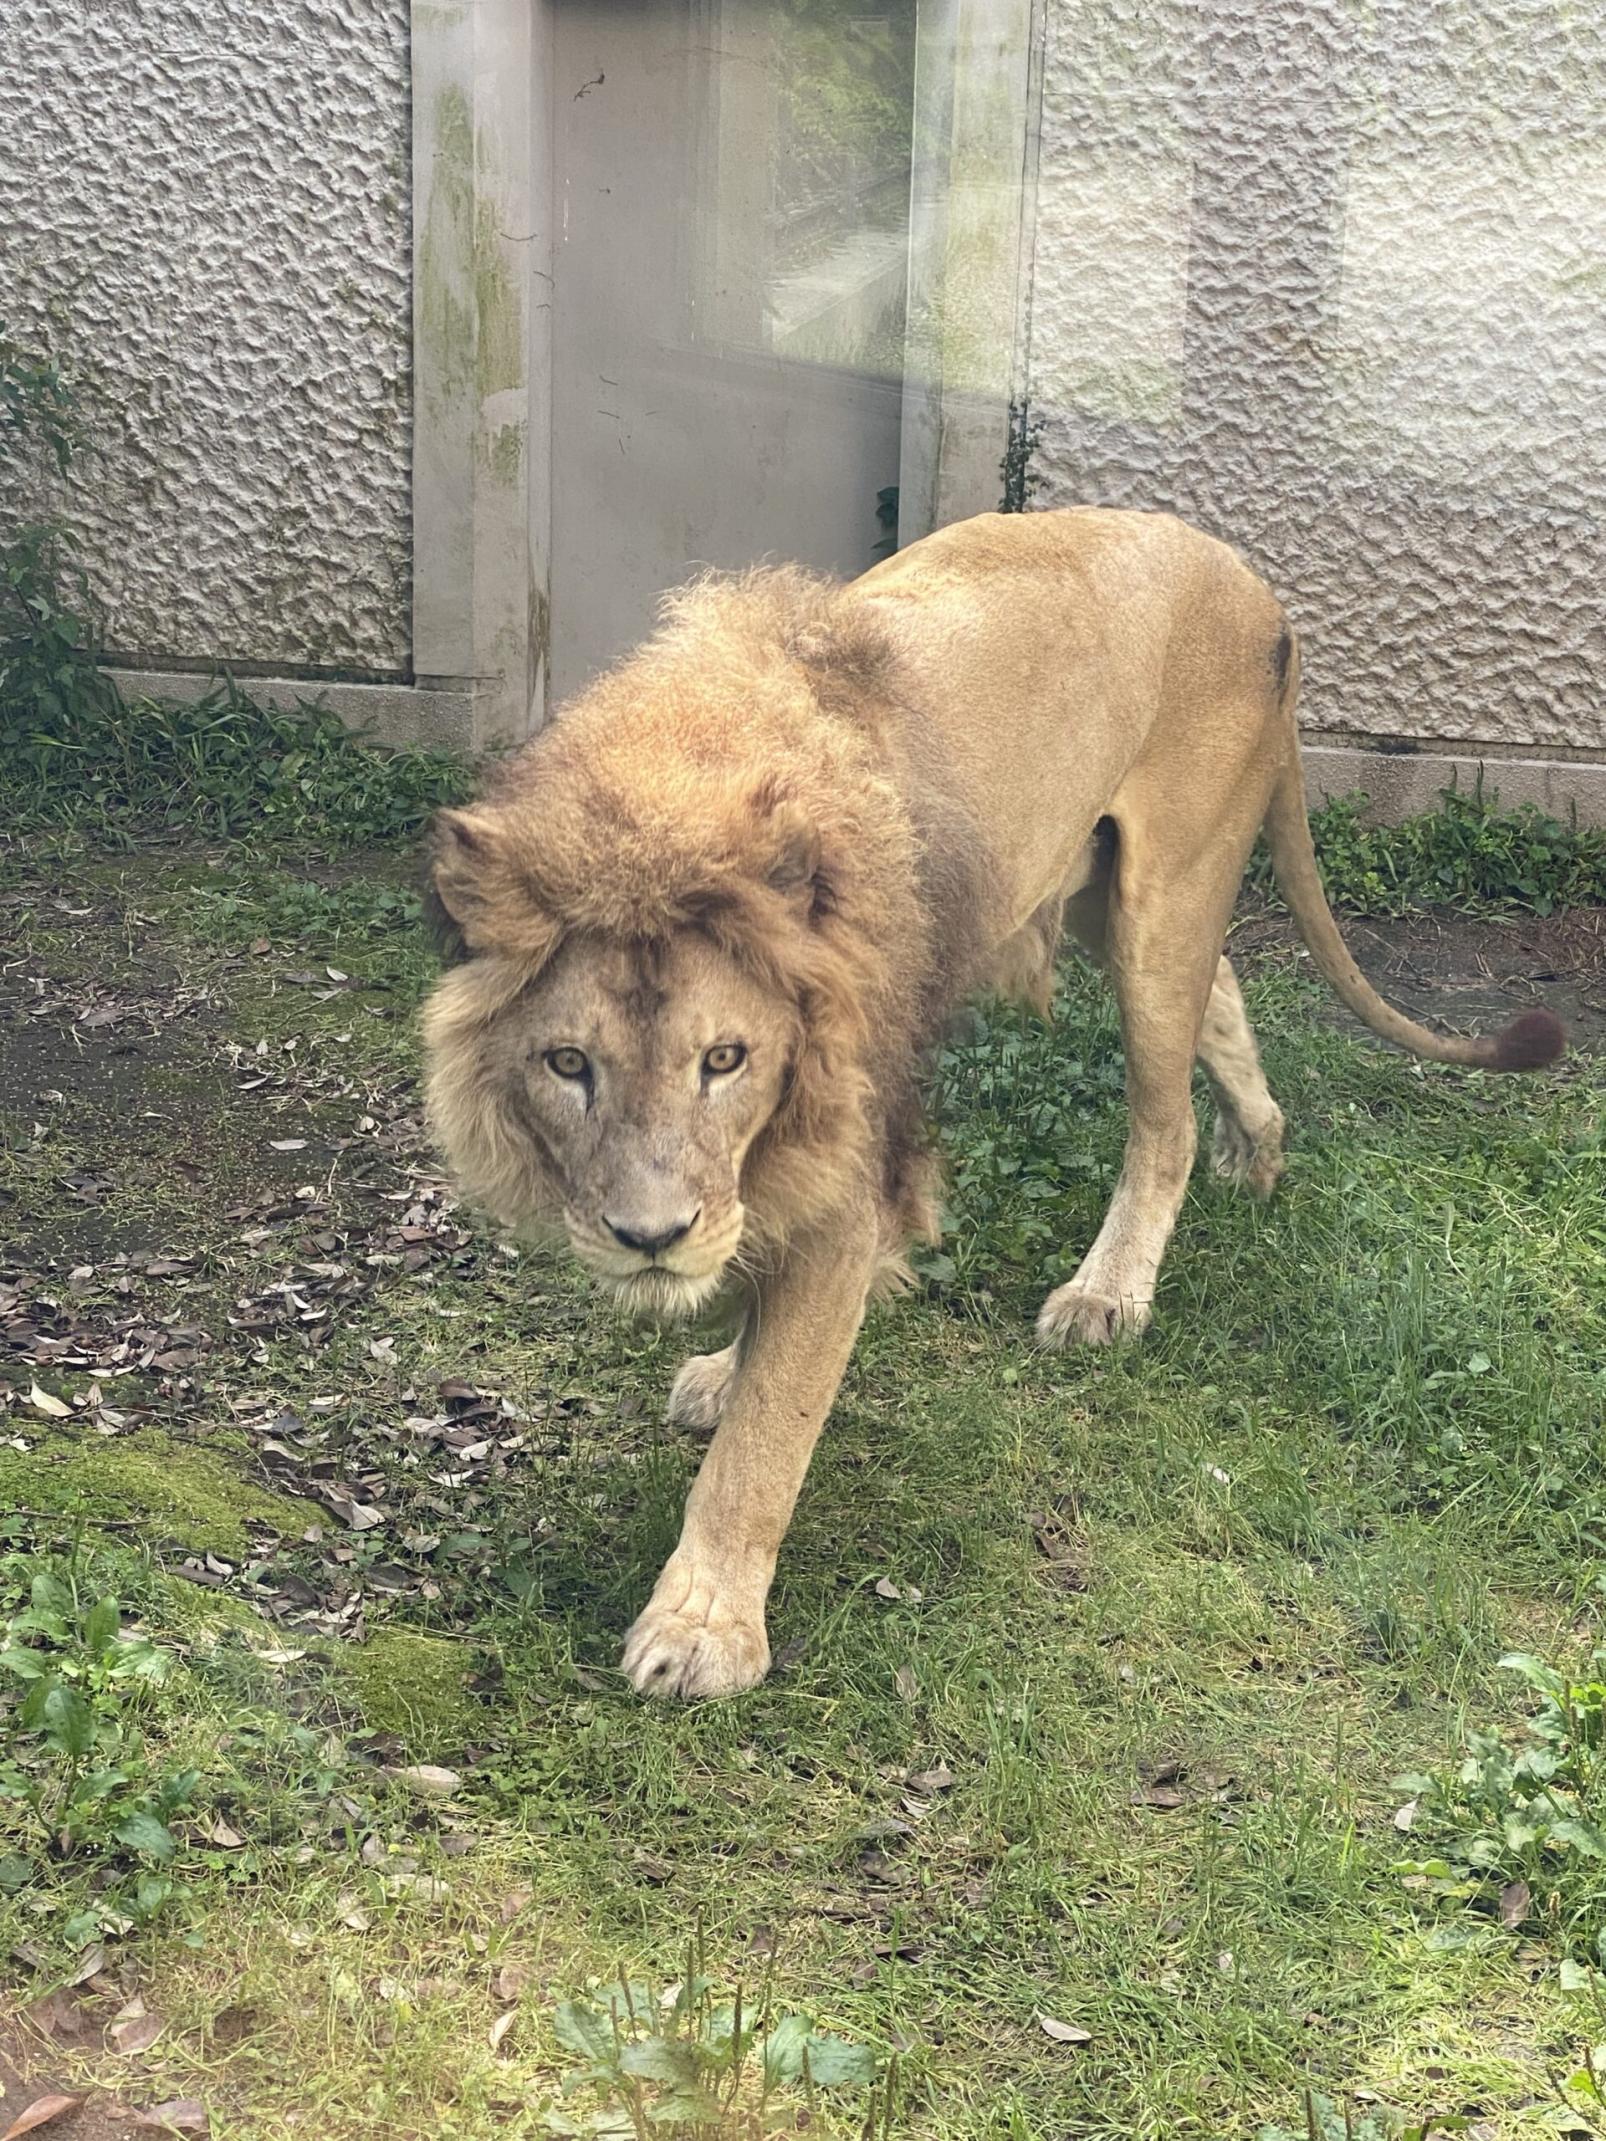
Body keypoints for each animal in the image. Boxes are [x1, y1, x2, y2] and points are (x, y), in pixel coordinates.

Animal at [421, 509, 1567, 1695]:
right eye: (568, 1064)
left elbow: (767, 1439)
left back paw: (1108, 1292)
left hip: (1164, 898)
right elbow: (755, 1303)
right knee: (1224, 996)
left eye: (724, 1058)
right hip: (1107, 890)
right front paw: (724, 1368)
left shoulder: (847, 1169)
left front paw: (704, 1628)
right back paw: (1260, 1146)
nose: (649, 1239)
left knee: (1165, 1118)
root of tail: (1246, 576)